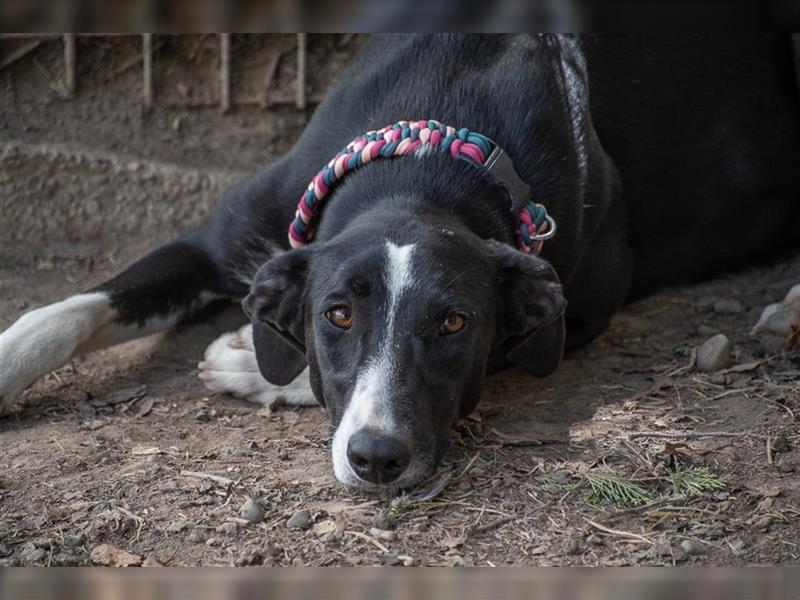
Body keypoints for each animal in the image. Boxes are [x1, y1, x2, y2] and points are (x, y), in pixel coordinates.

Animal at [1, 35, 800, 490]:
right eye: (337, 314)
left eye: (454, 325)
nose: (378, 462)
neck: (423, 171)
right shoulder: (219, 240)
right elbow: (74, 308)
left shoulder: (578, 310)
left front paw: (247, 362)